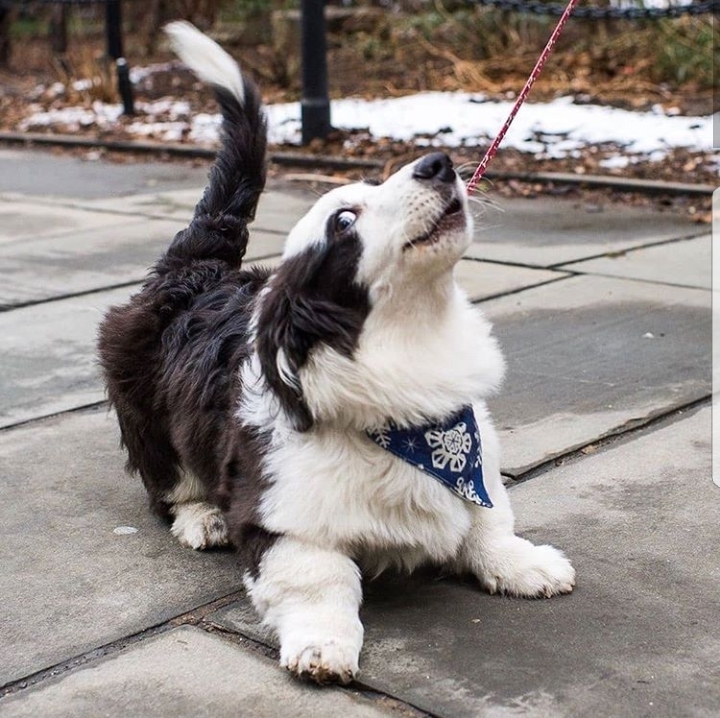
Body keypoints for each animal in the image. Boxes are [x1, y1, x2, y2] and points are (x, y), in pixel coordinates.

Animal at [100, 22, 572, 688]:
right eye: (344, 220)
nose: (438, 164)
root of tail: (195, 267)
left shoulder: (473, 457)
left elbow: (488, 520)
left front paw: (526, 565)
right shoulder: (280, 517)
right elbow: (321, 579)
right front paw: (323, 646)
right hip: (146, 415)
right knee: (167, 485)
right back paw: (201, 518)